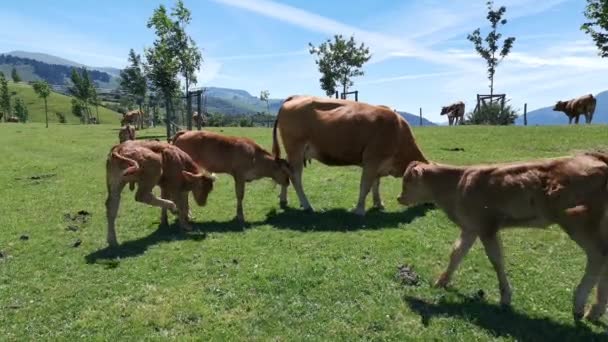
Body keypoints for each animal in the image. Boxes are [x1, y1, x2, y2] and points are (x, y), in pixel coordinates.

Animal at [274, 95, 426, 215]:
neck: (398, 131)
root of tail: (296, 96)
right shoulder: (372, 160)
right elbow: (365, 185)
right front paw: (359, 210)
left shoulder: (378, 164)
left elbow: (376, 184)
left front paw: (378, 203)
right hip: (296, 149)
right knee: (295, 177)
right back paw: (306, 205)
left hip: (294, 153)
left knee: (285, 170)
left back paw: (284, 199)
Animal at [396, 152, 608, 320]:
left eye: (407, 181)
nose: (399, 198)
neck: (457, 183)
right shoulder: (471, 227)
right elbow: (456, 253)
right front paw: (441, 282)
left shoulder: (486, 227)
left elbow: (496, 260)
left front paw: (505, 298)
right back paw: (595, 311)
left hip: (578, 222)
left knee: (598, 256)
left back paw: (579, 305)